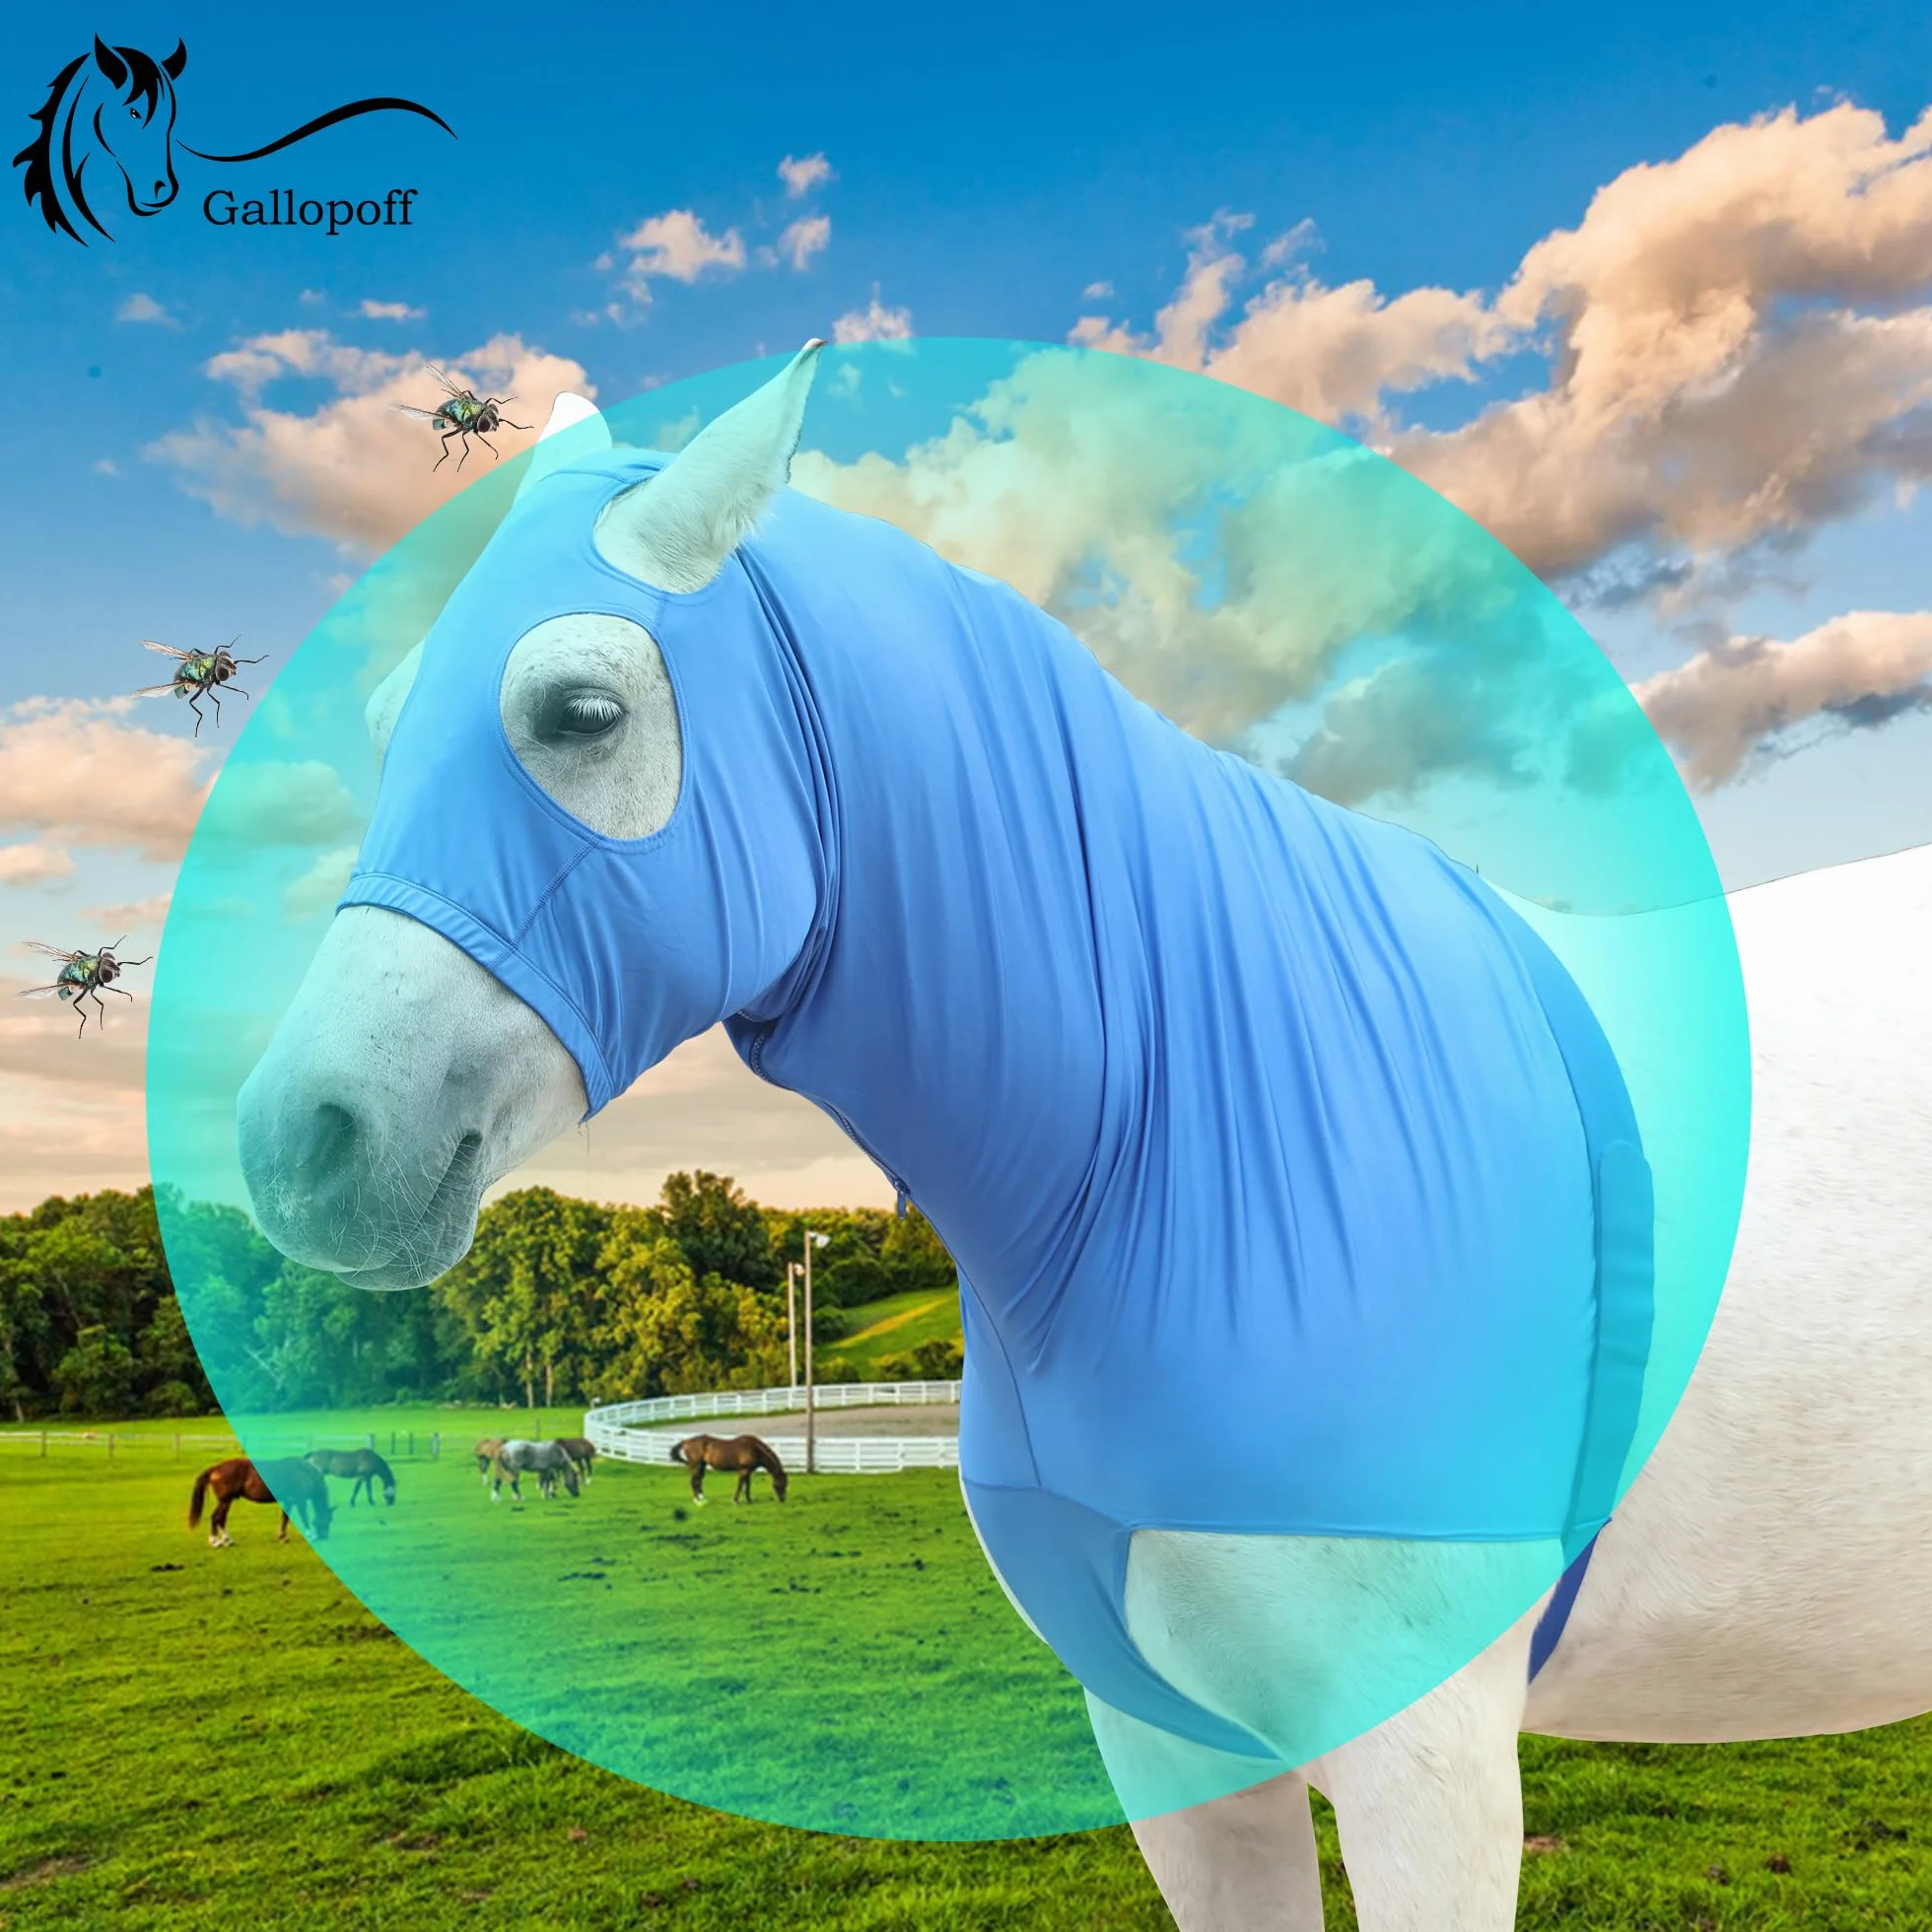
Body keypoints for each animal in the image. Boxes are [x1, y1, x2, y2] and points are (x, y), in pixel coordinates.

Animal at [187, 1455, 332, 1547]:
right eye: (328, 1519)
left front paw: (283, 1537)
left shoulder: (289, 1500)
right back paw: (216, 1541)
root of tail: (216, 1468)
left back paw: (227, 1540)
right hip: (225, 1501)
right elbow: (304, 1517)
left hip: (226, 1502)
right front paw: (310, 1535)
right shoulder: (299, 1500)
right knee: (216, 1518)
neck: (303, 1472)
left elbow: (285, 1518)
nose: (325, 1536)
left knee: (221, 1519)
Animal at [235, 351, 1932, 1930]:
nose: (298, 1142)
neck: (1183, 1134)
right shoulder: (1175, 1751)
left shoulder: (1427, 1768)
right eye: (382, 722)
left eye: (579, 711)